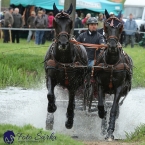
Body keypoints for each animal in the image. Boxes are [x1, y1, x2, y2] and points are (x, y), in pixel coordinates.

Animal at [94, 9, 133, 140]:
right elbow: (101, 106)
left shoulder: (119, 88)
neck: (111, 63)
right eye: (106, 26)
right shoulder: (100, 86)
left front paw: (110, 132)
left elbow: (114, 109)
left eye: (120, 27)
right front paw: (103, 122)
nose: (111, 46)